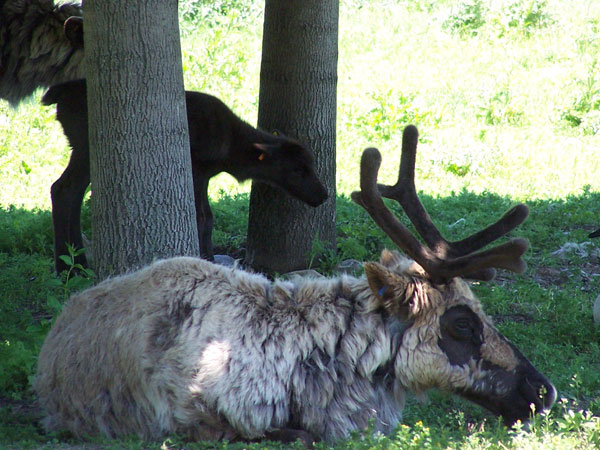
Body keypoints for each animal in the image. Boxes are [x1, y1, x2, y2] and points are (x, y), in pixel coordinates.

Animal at [45, 79, 328, 272]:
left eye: (312, 163)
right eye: (297, 169)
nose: (323, 194)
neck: (230, 146)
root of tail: (58, 95)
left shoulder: (205, 175)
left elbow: (207, 217)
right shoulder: (198, 171)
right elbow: (203, 217)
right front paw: (207, 258)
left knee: (69, 191)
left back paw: (74, 261)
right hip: (86, 148)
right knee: (64, 189)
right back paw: (69, 267)